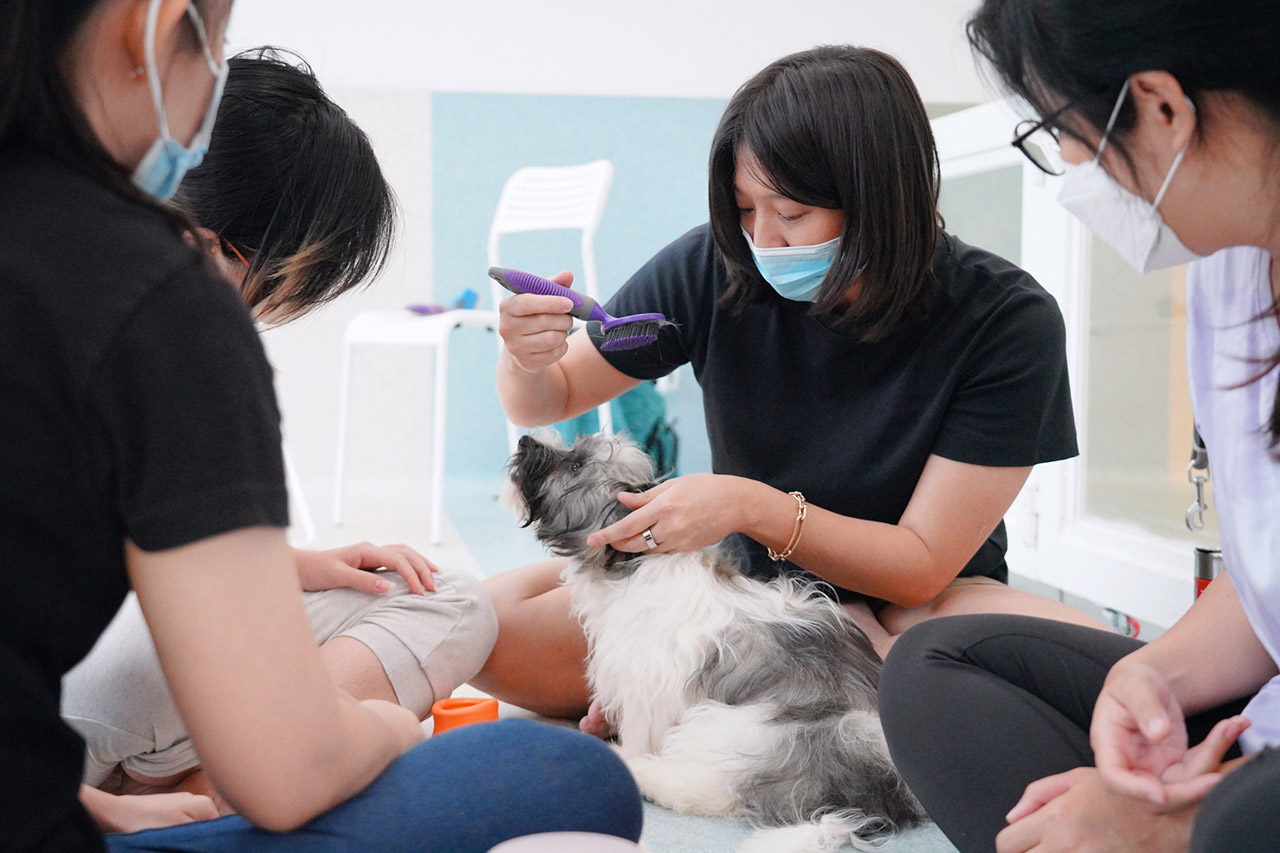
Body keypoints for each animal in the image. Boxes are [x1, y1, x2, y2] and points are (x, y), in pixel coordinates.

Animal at [504, 432, 926, 850]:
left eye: (576, 465)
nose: (524, 439)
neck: (632, 565)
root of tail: (869, 802)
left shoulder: (646, 684)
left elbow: (642, 729)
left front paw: (631, 752)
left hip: (741, 725)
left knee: (718, 789)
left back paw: (643, 772)